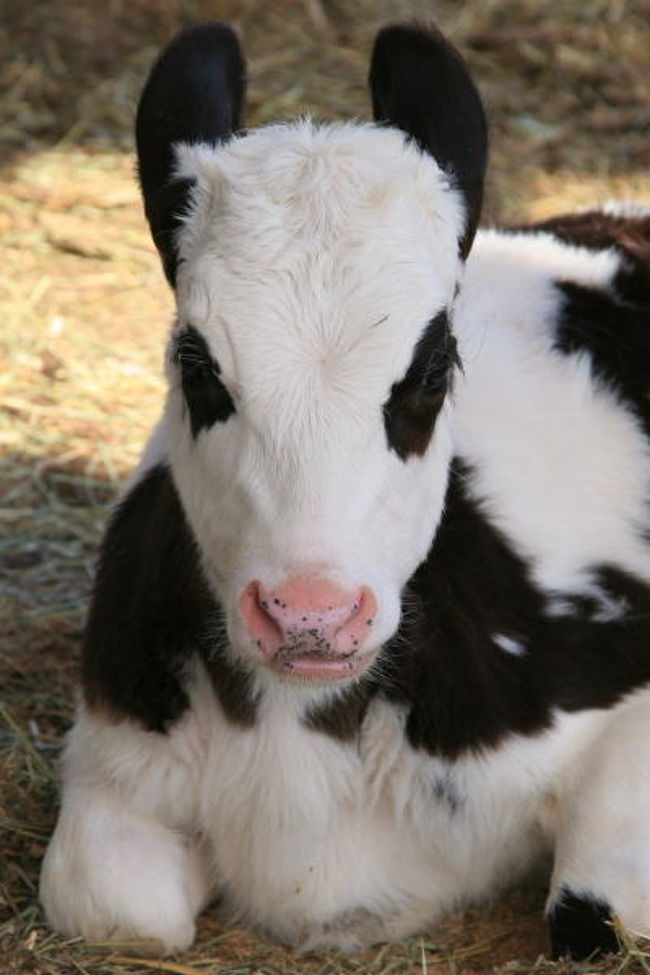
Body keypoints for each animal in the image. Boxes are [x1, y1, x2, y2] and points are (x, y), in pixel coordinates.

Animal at [39, 21, 648, 960]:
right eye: (197, 363)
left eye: (432, 368)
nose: (310, 614)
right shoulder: (116, 751)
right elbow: (115, 903)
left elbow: (602, 905)